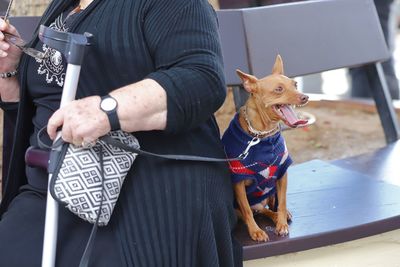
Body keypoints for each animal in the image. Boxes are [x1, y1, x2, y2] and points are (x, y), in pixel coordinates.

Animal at [220, 54, 308, 243]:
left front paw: (281, 223)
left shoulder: (282, 173)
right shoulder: (238, 182)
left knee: (270, 207)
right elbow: (246, 210)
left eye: (295, 85)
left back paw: (279, 216)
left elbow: (282, 202)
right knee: (255, 211)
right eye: (279, 89)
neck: (262, 136)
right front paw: (256, 231)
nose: (305, 97)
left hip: (271, 191)